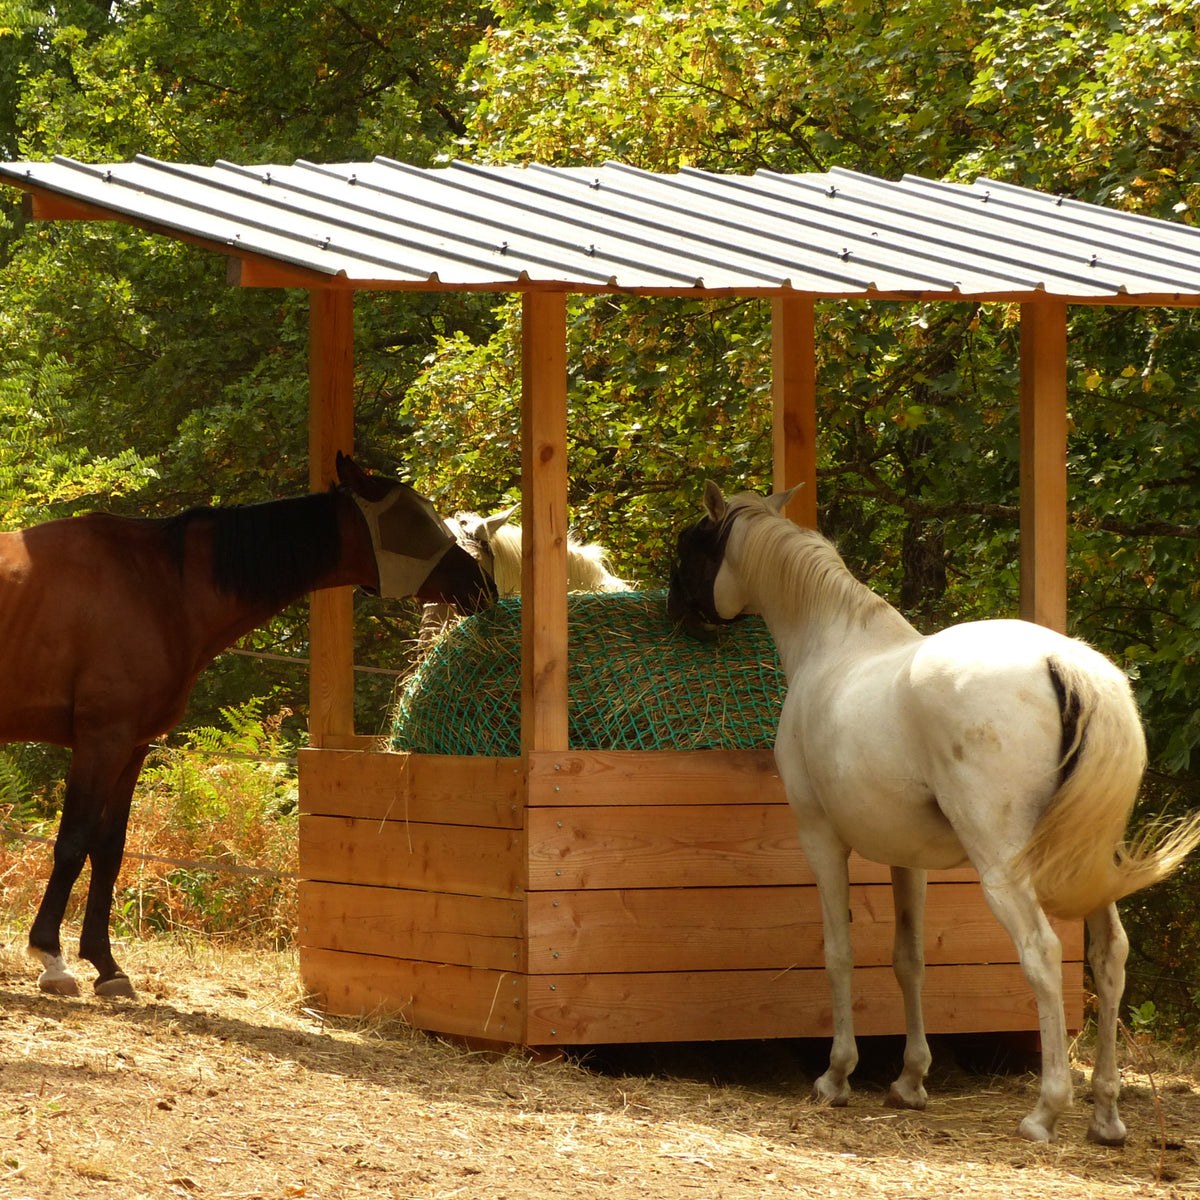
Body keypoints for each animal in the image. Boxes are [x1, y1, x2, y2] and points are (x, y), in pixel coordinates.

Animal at [0, 452, 495, 1000]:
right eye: (417, 523)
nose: (481, 585)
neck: (155, 585)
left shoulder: (131, 746)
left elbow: (108, 850)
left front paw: (106, 965)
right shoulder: (101, 740)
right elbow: (72, 843)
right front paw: (51, 956)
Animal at [667, 481, 1200, 1144]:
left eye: (691, 546)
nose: (673, 610)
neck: (833, 643)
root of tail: (1067, 664)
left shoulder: (820, 838)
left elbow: (839, 952)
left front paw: (836, 1077)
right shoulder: (908, 860)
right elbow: (909, 959)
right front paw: (909, 1081)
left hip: (1003, 868)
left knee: (1042, 952)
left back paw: (1045, 1111)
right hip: (1091, 865)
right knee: (1110, 957)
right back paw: (1105, 1114)